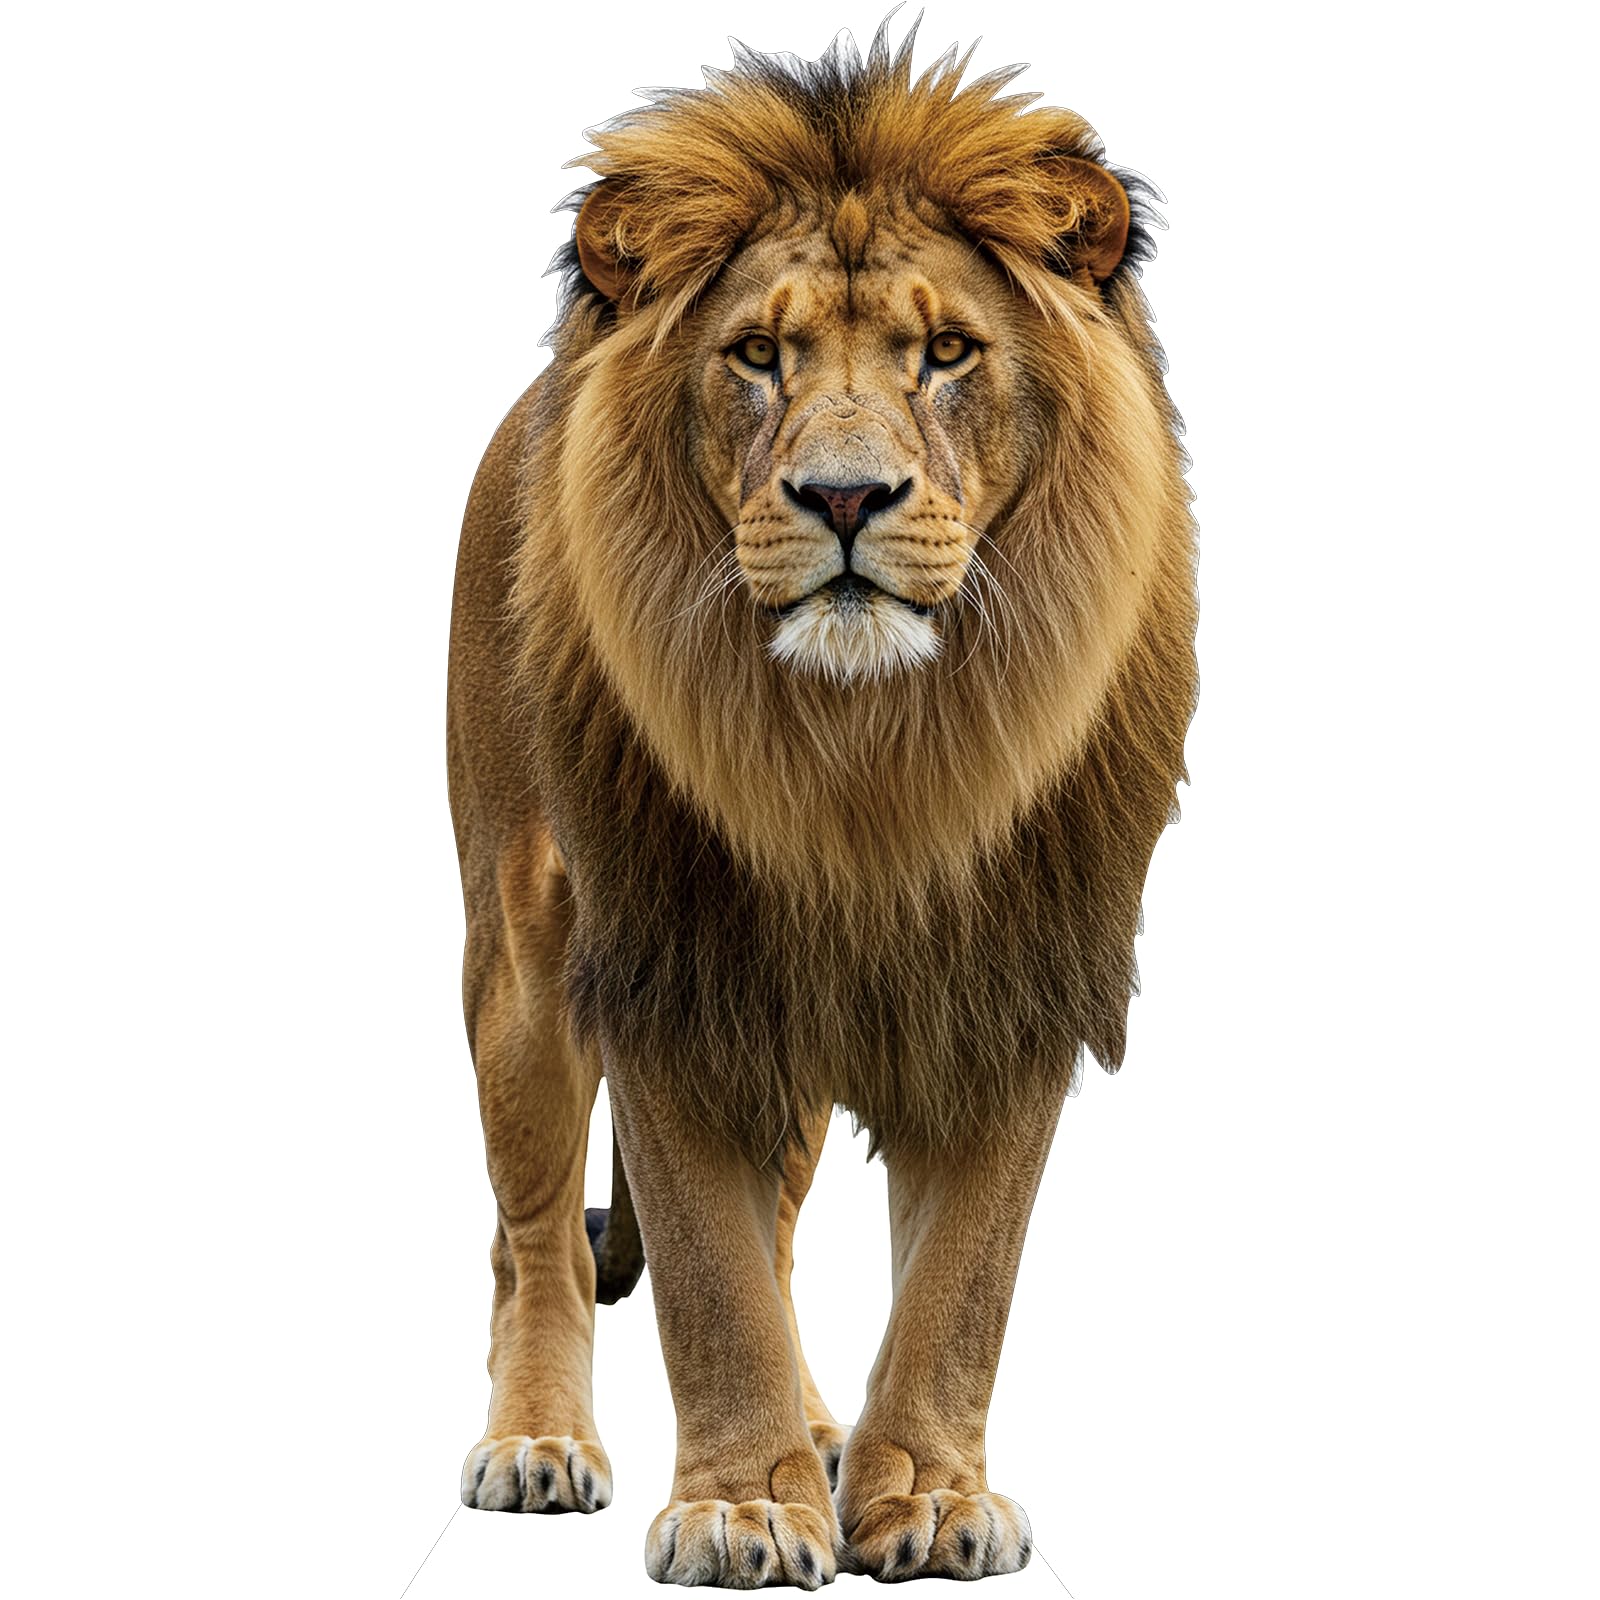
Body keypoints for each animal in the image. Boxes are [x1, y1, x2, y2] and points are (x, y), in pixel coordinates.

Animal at [445, 15, 1197, 1588]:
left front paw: (925, 1490)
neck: (868, 754)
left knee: (777, 1233)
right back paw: (539, 1438)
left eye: (949, 351)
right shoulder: (664, 962)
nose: (844, 497)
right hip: (525, 962)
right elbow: (705, 1276)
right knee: (536, 1236)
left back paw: (819, 1432)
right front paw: (738, 1506)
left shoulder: (1013, 968)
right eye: (755, 355)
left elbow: (964, 1278)